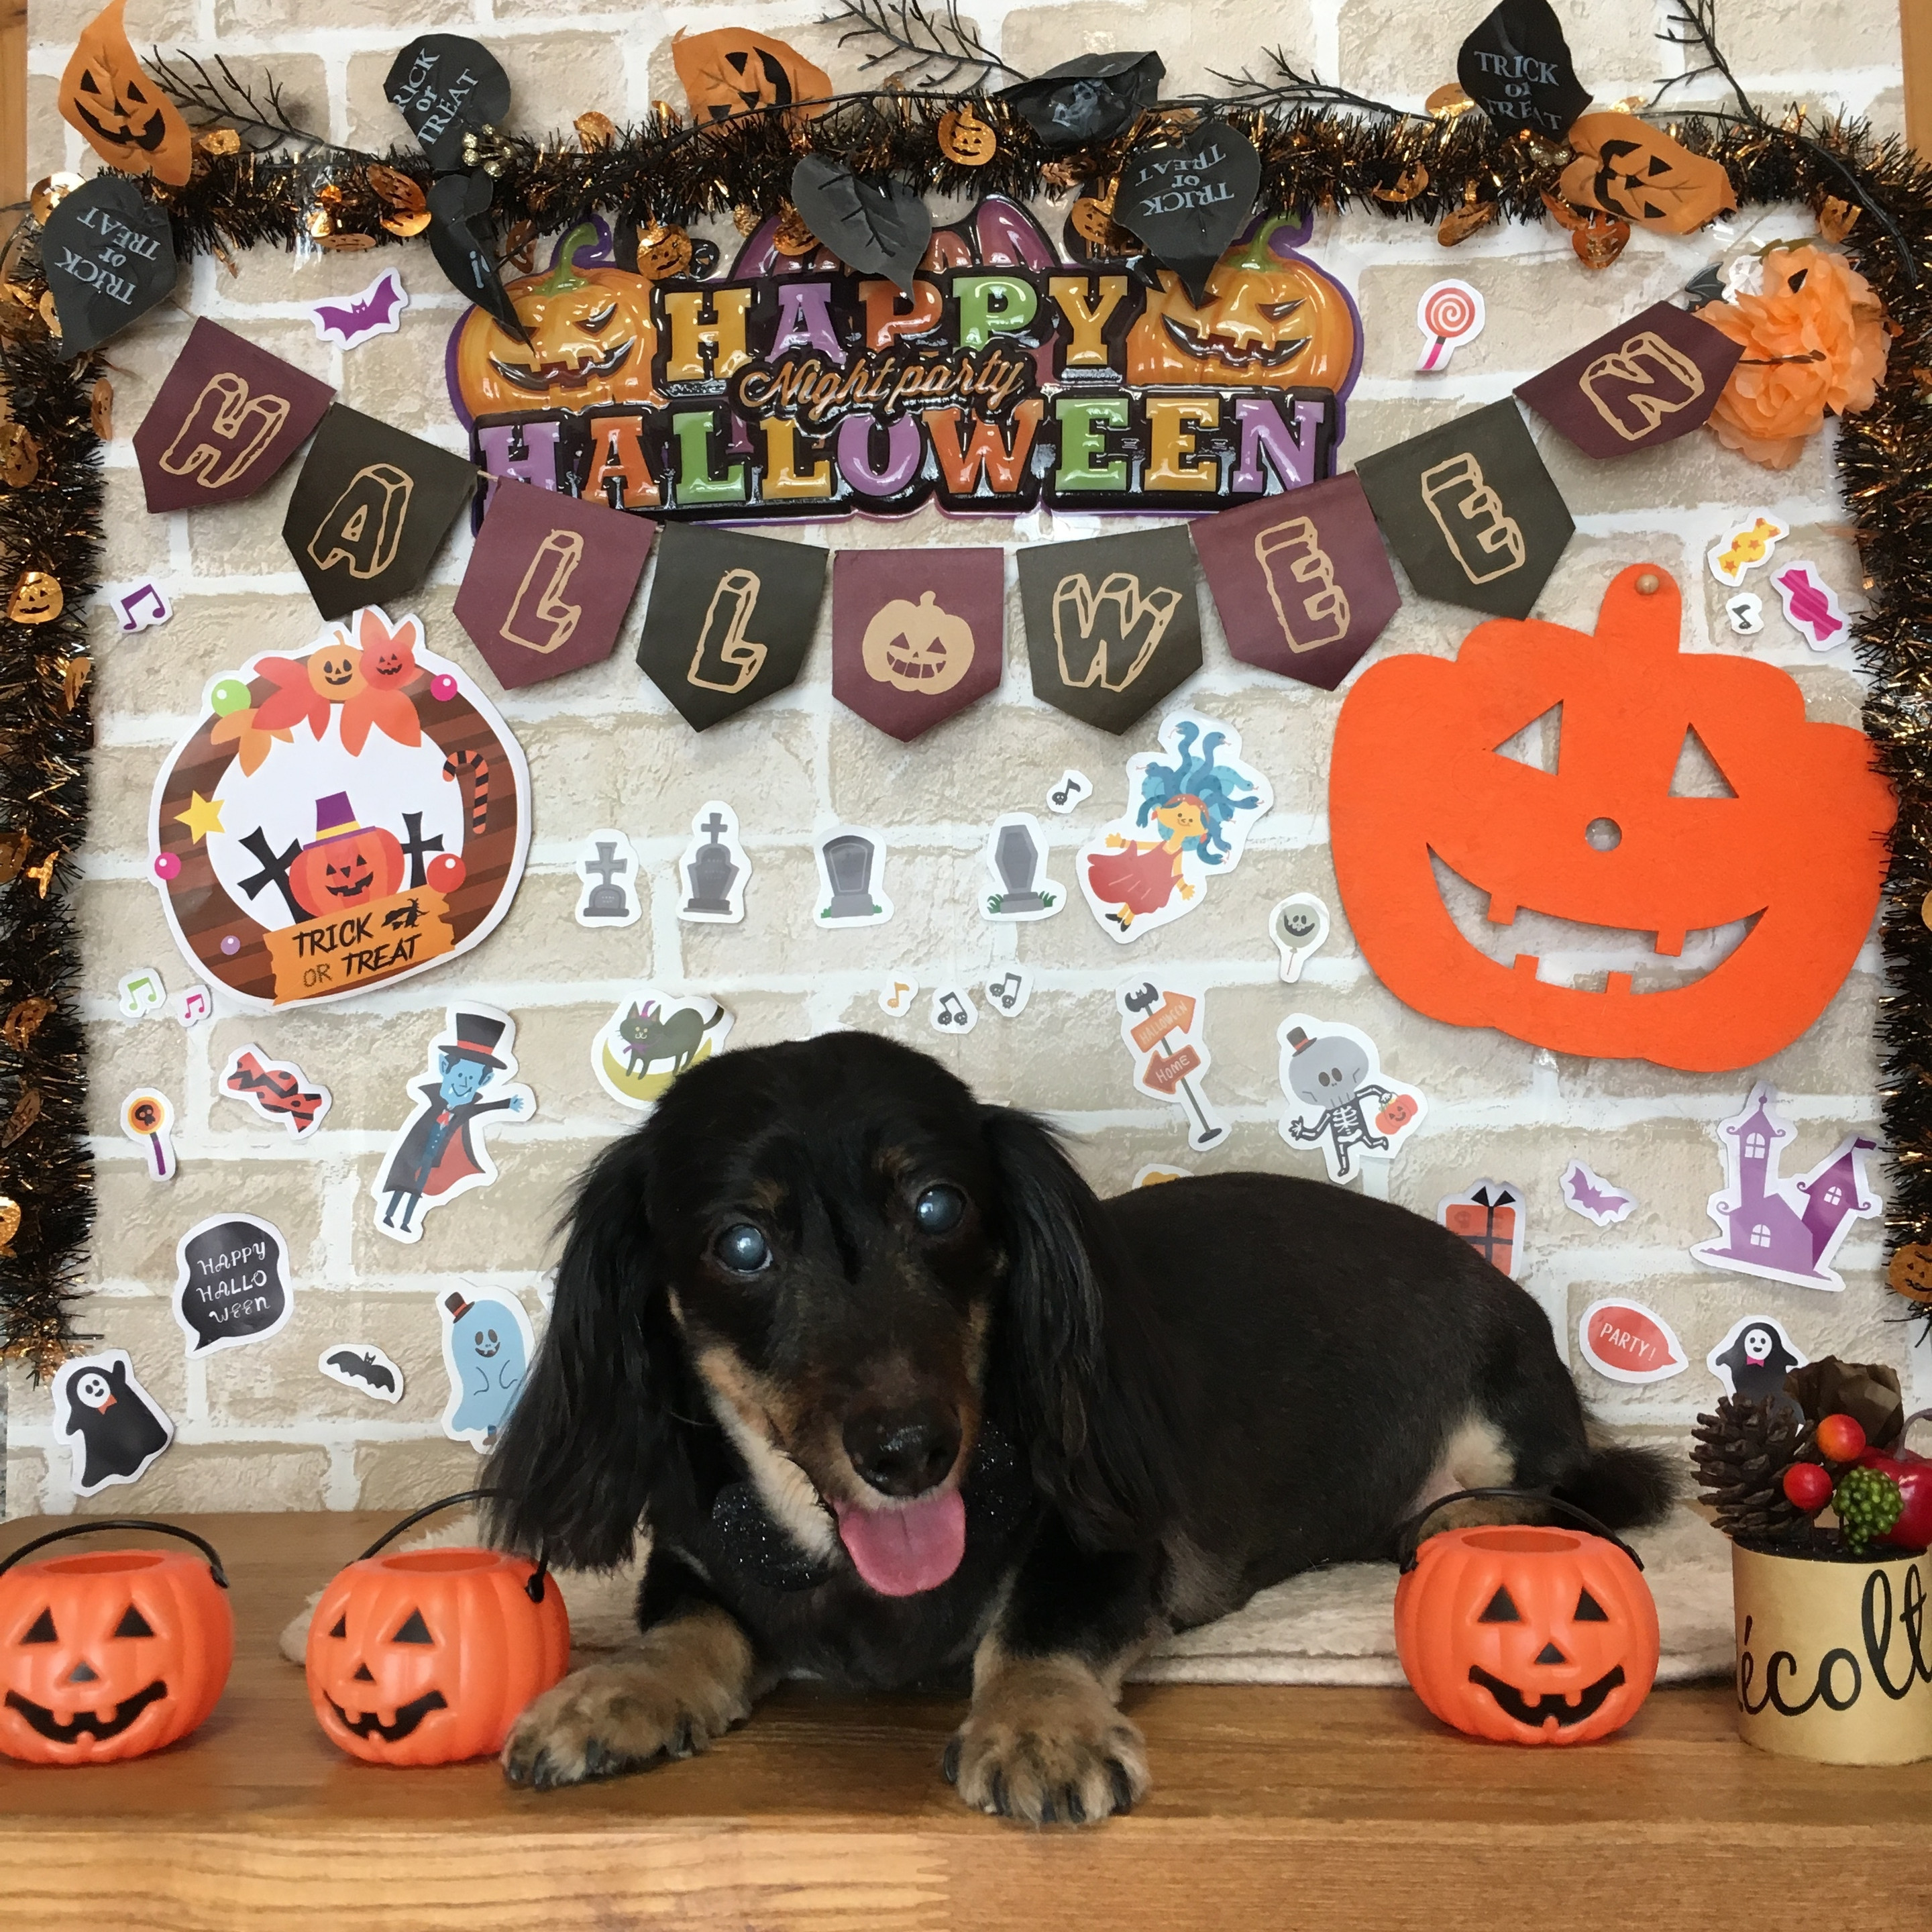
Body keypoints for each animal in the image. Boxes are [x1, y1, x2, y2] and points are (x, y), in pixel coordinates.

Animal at [486, 1031, 1673, 1822]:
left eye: (939, 1206)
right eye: (741, 1246)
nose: (911, 1454)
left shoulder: (1112, 1546)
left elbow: (1037, 1623)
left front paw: (1040, 1729)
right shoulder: (699, 1555)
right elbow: (686, 1625)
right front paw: (610, 1692)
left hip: (1504, 1417)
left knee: (1545, 1495)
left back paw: (1462, 1523)